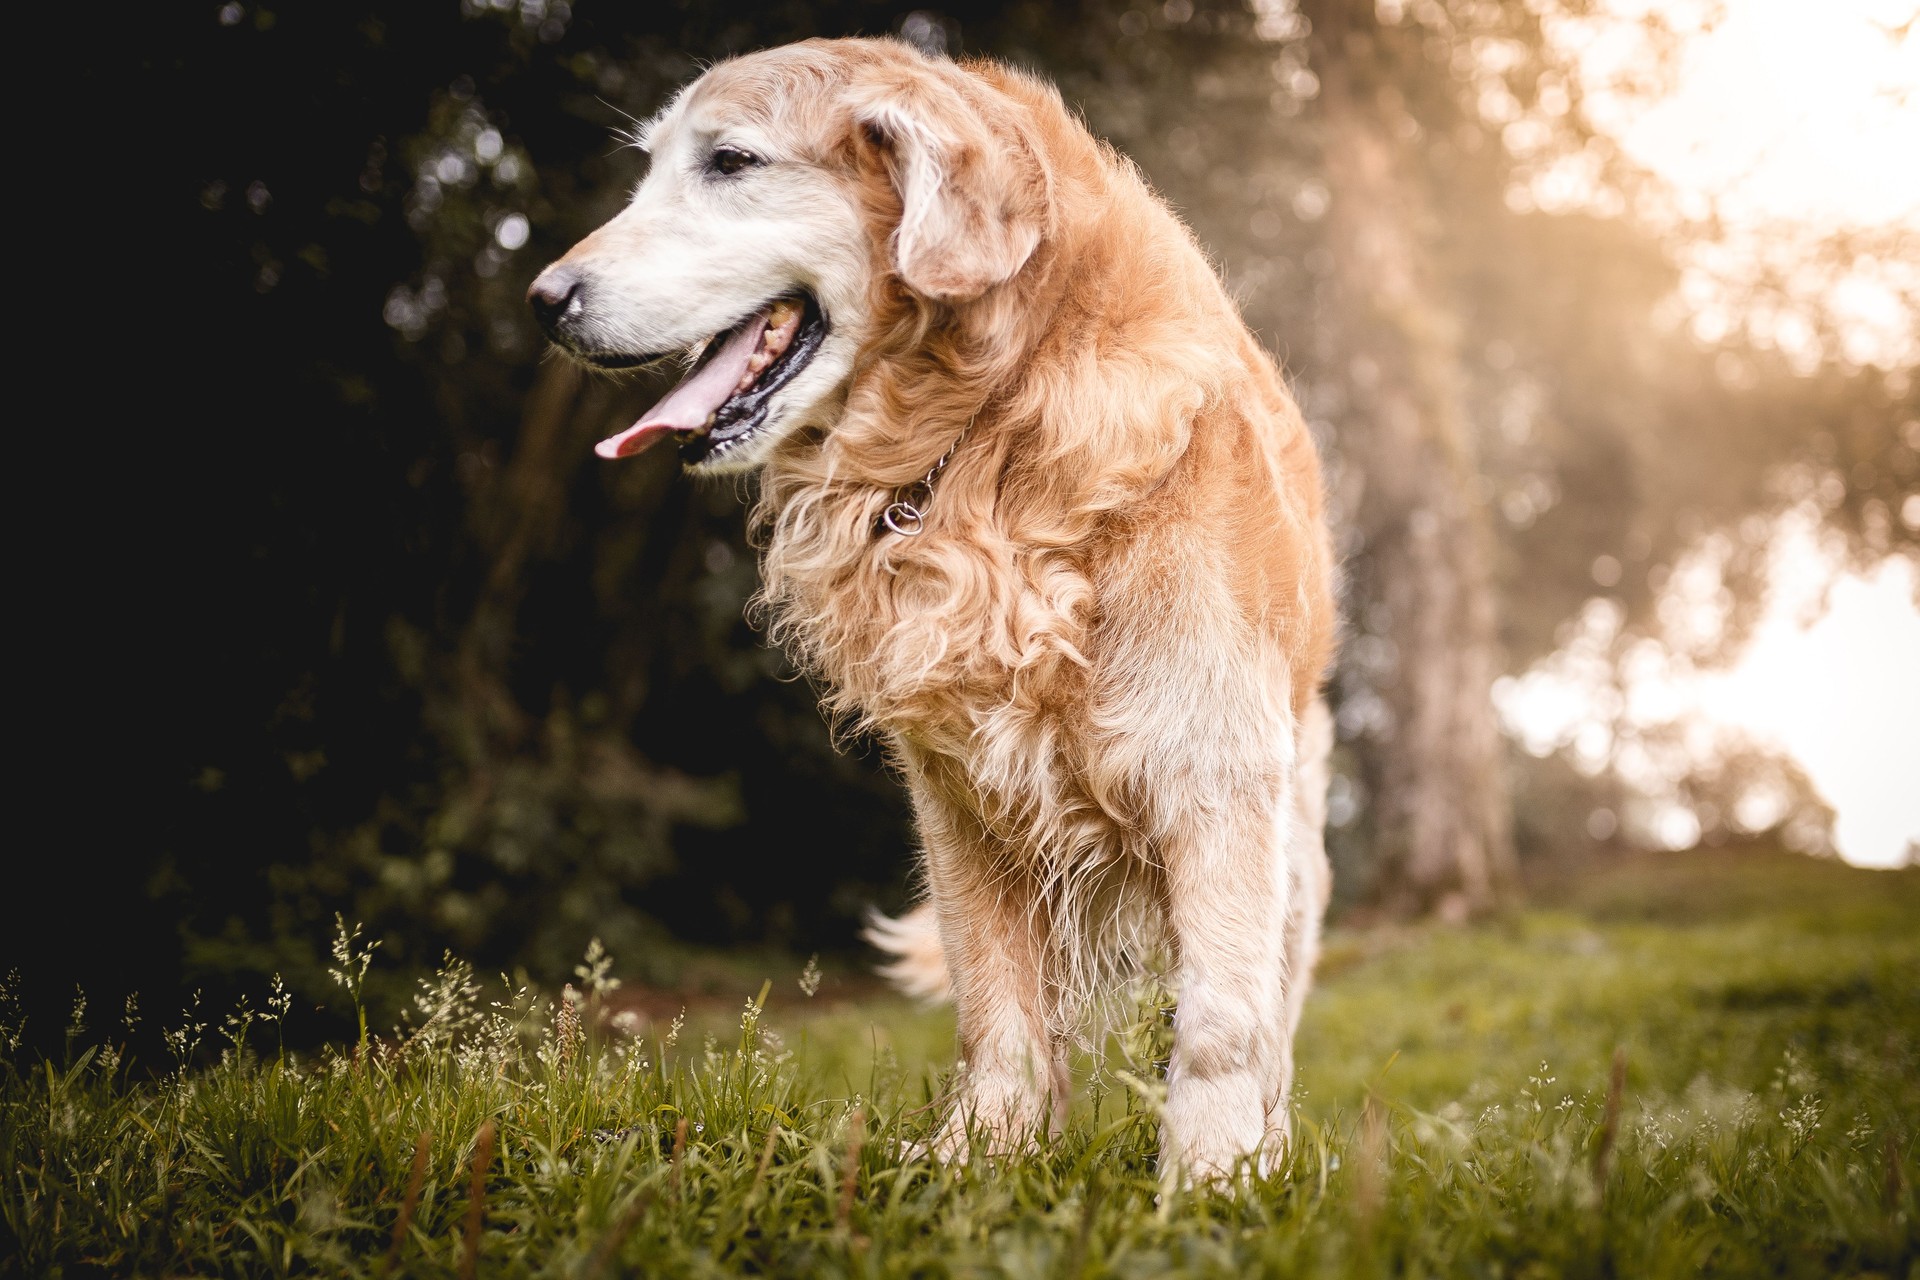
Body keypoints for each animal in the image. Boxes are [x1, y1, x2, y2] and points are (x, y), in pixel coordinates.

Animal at [526, 37, 1336, 1182]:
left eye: (730, 161)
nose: (543, 297)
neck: (992, 424)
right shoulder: (959, 795)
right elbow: (996, 1007)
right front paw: (979, 1156)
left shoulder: (1214, 767)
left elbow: (1224, 1019)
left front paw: (1212, 1181)